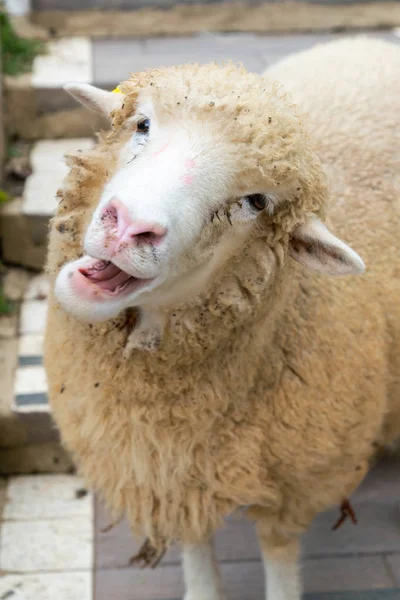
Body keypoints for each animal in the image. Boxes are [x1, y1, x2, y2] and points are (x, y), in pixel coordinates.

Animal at [43, 38, 400, 600]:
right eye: (142, 124)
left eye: (255, 201)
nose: (128, 226)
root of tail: (374, 44)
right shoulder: (172, 471)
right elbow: (194, 544)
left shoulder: (294, 485)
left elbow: (278, 559)